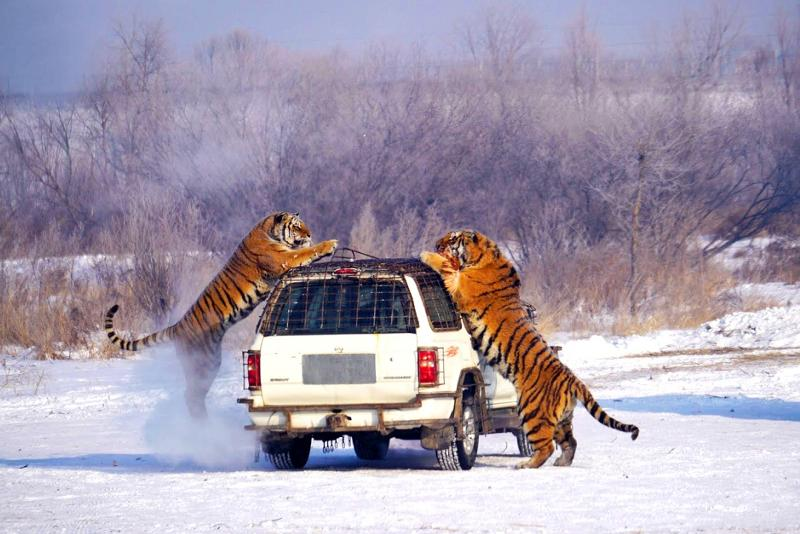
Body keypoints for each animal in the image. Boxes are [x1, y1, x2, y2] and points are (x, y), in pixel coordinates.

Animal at [105, 211, 337, 419]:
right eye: (297, 226)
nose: (309, 234)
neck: (268, 230)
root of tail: (177, 326)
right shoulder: (283, 259)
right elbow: (304, 253)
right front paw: (328, 244)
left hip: (211, 361)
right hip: (201, 363)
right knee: (190, 395)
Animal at [421, 230, 638, 468]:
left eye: (452, 239)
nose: (436, 244)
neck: (485, 256)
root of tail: (573, 380)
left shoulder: (461, 288)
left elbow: (446, 267)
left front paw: (426, 255)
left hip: (531, 411)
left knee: (546, 446)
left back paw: (525, 465)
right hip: (562, 419)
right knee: (570, 442)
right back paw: (561, 463)